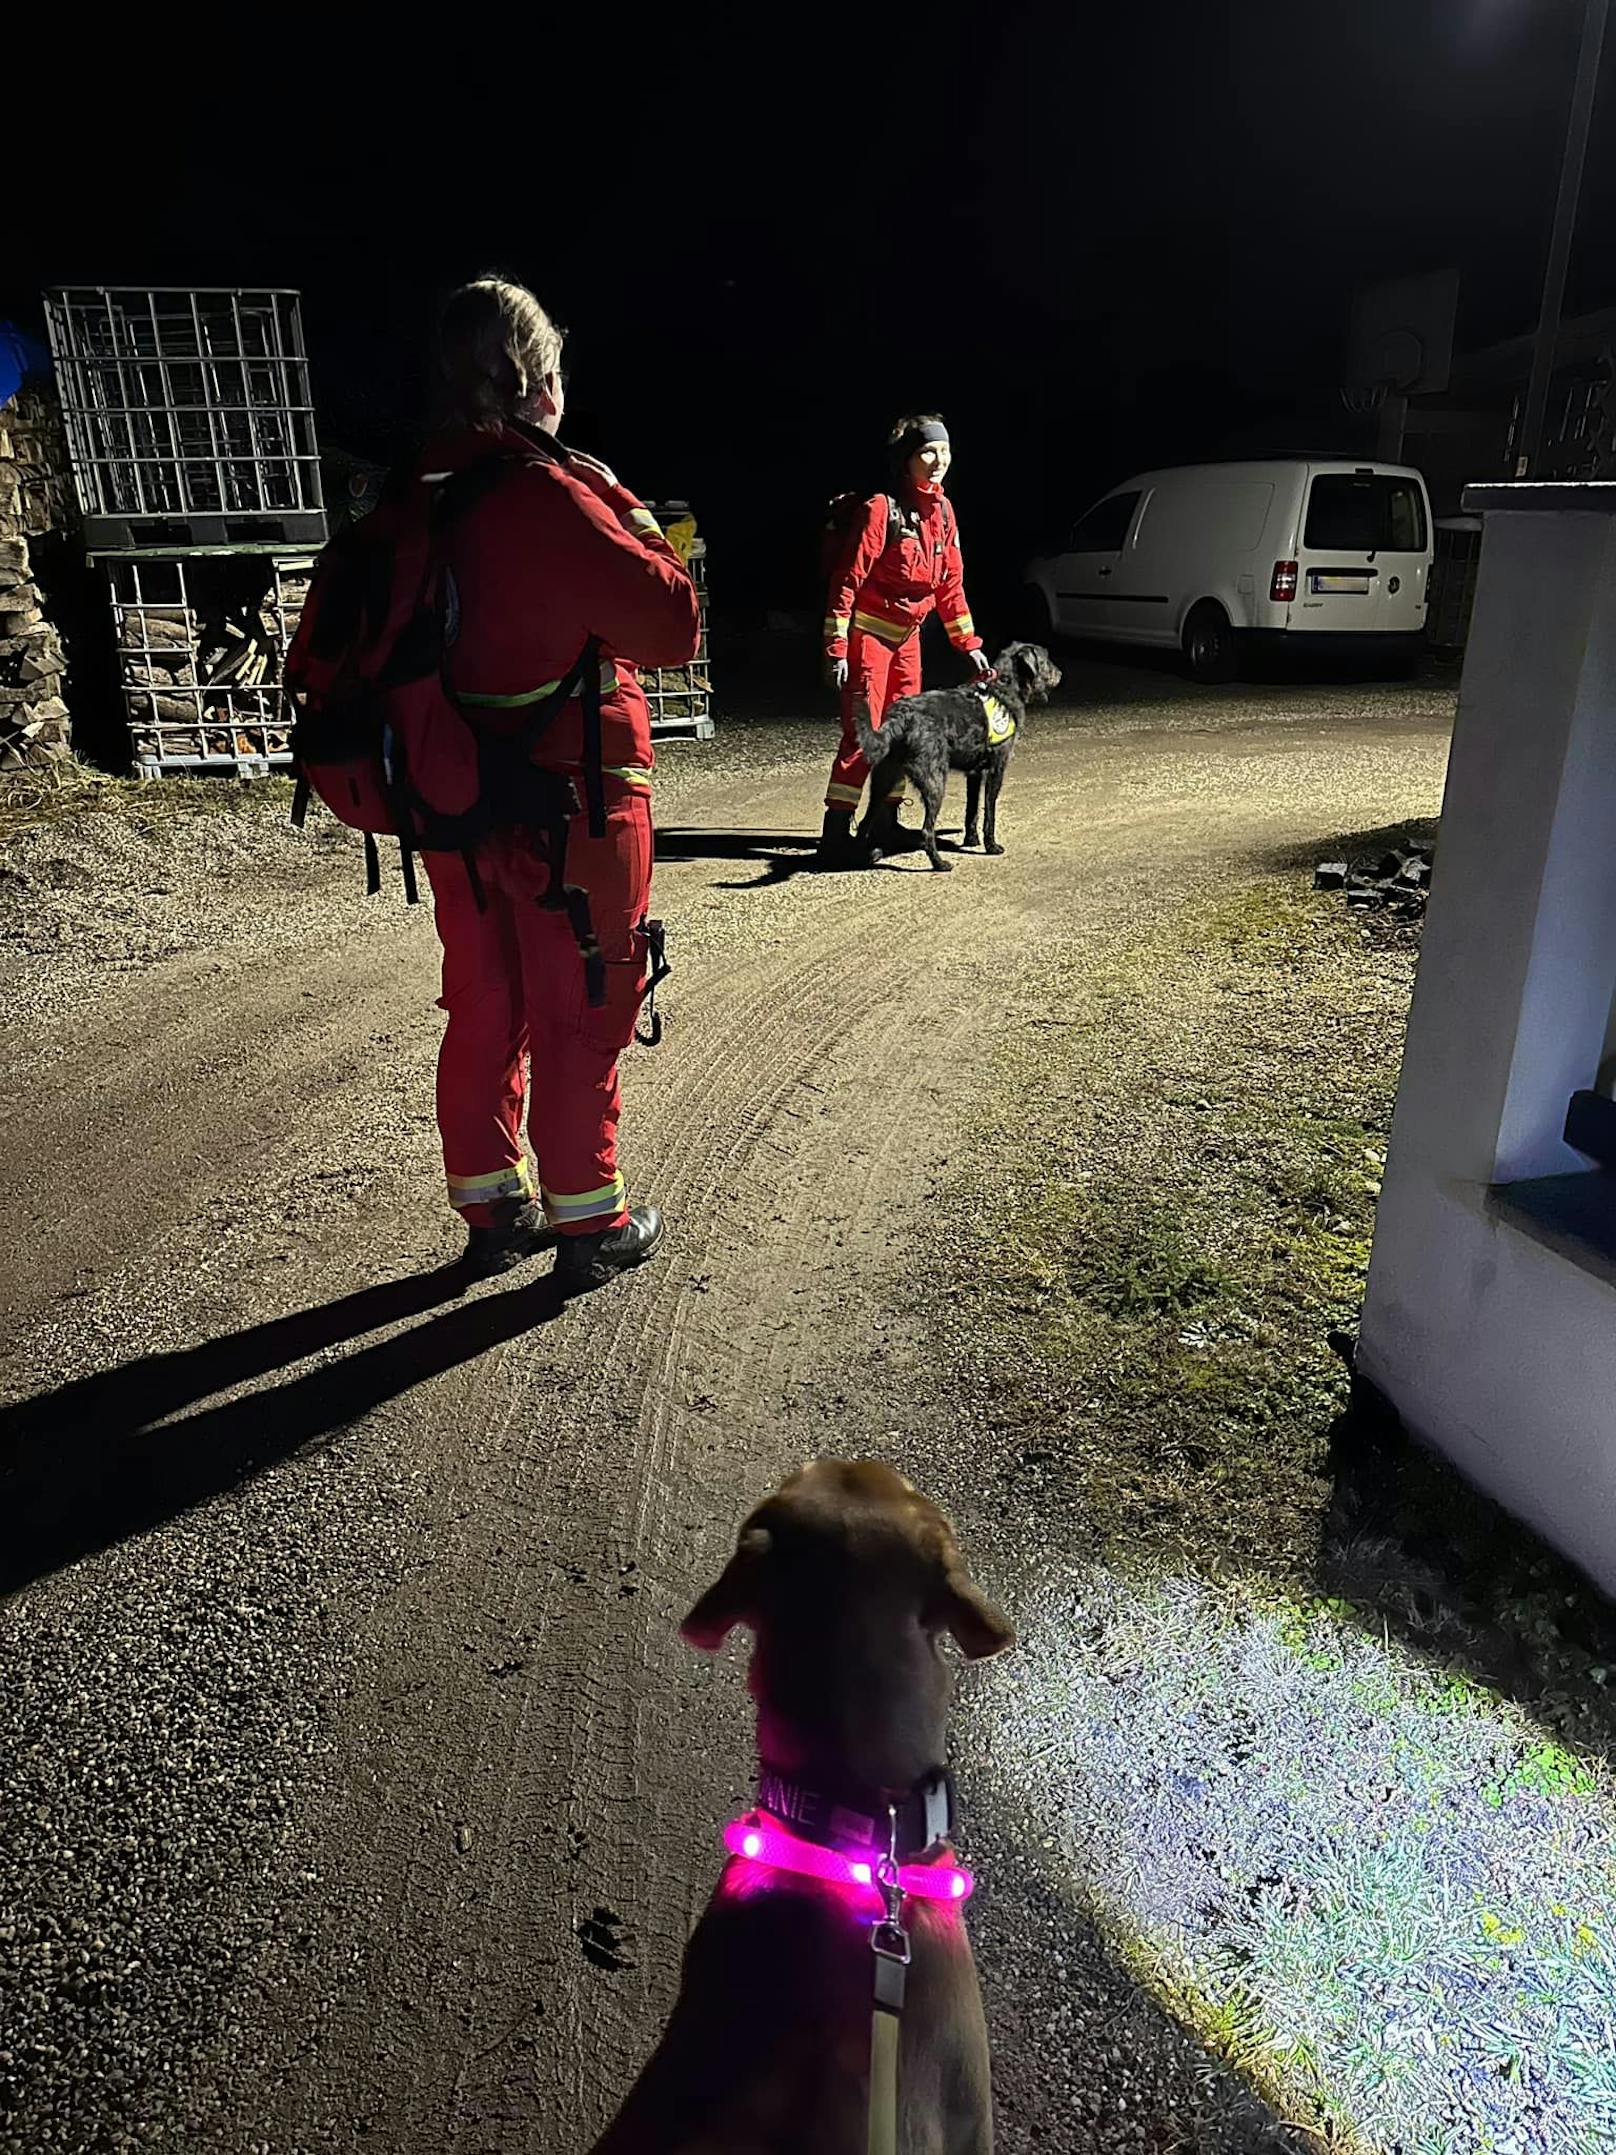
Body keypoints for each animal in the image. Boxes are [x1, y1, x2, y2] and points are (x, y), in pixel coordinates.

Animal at [853, 642, 1068, 870]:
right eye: (1045, 659)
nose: (1060, 674)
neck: (1004, 688)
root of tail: (901, 716)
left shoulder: (974, 773)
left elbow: (972, 810)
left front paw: (971, 839)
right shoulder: (996, 770)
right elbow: (989, 812)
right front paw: (991, 846)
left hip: (883, 782)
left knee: (865, 822)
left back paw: (862, 855)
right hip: (934, 782)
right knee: (927, 830)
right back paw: (939, 863)